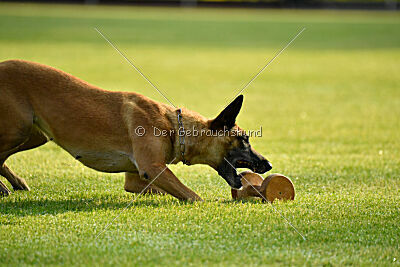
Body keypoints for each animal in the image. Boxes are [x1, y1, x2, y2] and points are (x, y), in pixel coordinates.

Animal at [0, 59, 272, 201]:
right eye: (244, 139)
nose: (268, 164)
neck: (175, 127)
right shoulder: (152, 167)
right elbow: (194, 196)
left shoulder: (136, 177)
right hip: (19, 129)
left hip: (36, 135)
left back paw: (14, 184)